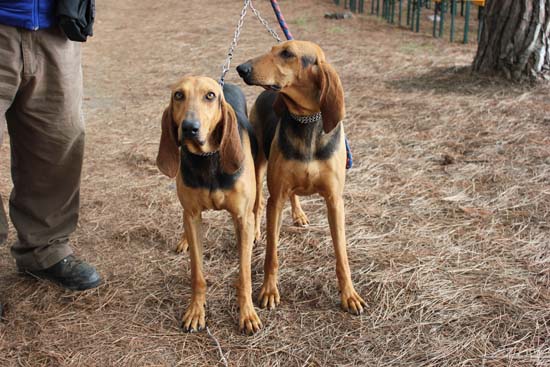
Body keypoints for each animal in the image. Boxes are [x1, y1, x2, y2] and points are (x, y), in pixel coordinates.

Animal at [156, 76, 262, 334]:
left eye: (210, 96)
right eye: (178, 95)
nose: (189, 127)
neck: (207, 160)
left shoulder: (242, 217)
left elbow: (244, 275)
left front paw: (247, 314)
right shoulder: (193, 215)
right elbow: (197, 274)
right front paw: (196, 311)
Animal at [237, 41, 366, 316]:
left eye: (287, 53)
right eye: (272, 49)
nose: (242, 68)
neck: (306, 121)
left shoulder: (334, 201)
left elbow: (342, 255)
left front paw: (349, 295)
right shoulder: (276, 199)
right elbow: (271, 255)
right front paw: (268, 291)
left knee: (294, 195)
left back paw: (298, 214)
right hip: (259, 168)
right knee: (257, 204)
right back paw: (255, 232)